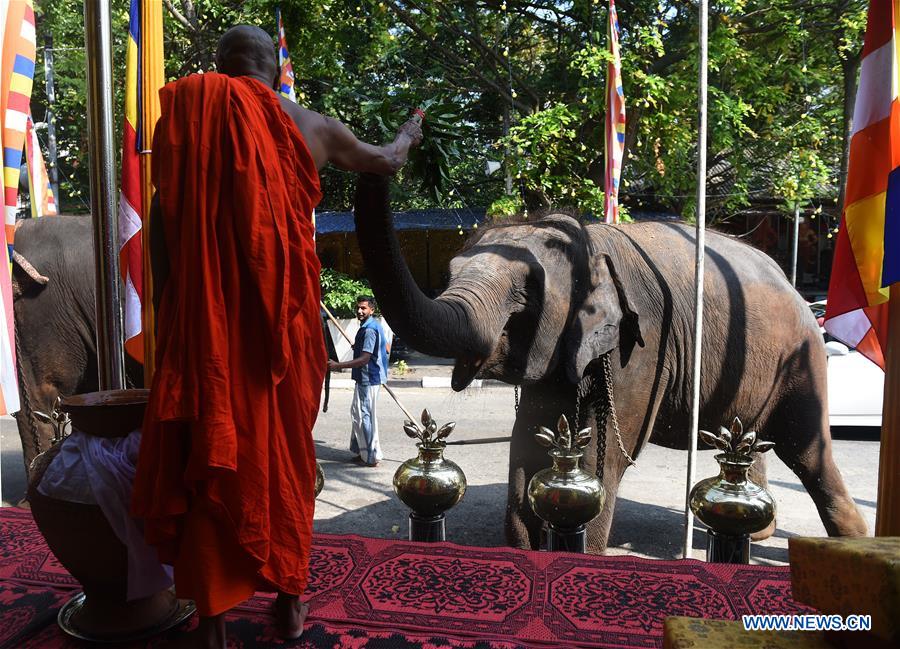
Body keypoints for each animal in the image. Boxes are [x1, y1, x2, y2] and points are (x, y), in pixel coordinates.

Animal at [356, 175, 868, 548]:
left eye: (525, 294)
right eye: (450, 274)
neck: (587, 240)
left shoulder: (640, 345)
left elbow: (601, 460)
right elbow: (527, 442)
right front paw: (526, 550)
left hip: (802, 361)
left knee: (807, 449)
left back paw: (851, 542)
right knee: (757, 440)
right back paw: (757, 530)